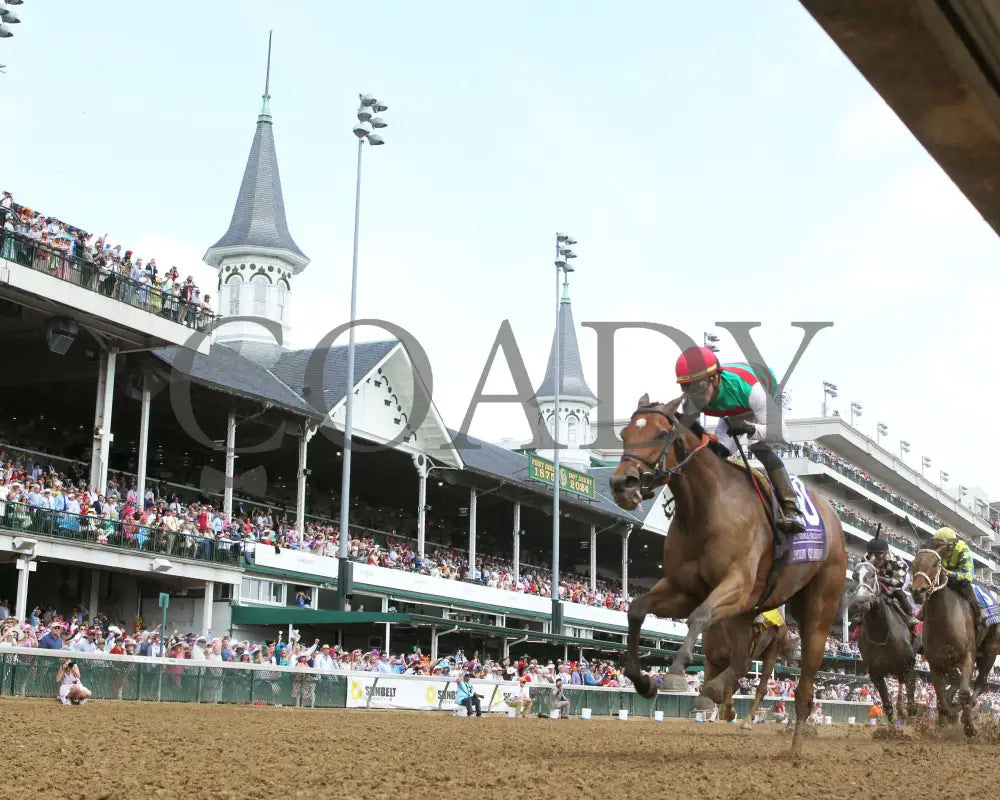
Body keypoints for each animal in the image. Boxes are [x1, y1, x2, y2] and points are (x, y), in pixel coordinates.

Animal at [604, 396, 848, 752]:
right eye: (624, 434)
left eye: (662, 433)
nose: (623, 484)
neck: (705, 507)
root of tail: (834, 519)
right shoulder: (683, 588)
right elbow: (636, 609)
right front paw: (644, 681)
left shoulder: (737, 584)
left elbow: (699, 616)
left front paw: (675, 674)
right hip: (745, 614)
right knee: (743, 663)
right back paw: (717, 694)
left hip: (817, 608)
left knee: (800, 680)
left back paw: (793, 746)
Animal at [908, 552, 1000, 736]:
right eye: (913, 564)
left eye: (935, 564)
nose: (917, 591)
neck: (944, 619)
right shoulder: (936, 661)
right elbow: (943, 700)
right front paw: (950, 712)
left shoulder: (967, 655)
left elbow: (963, 692)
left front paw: (969, 724)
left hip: (991, 651)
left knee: (981, 682)